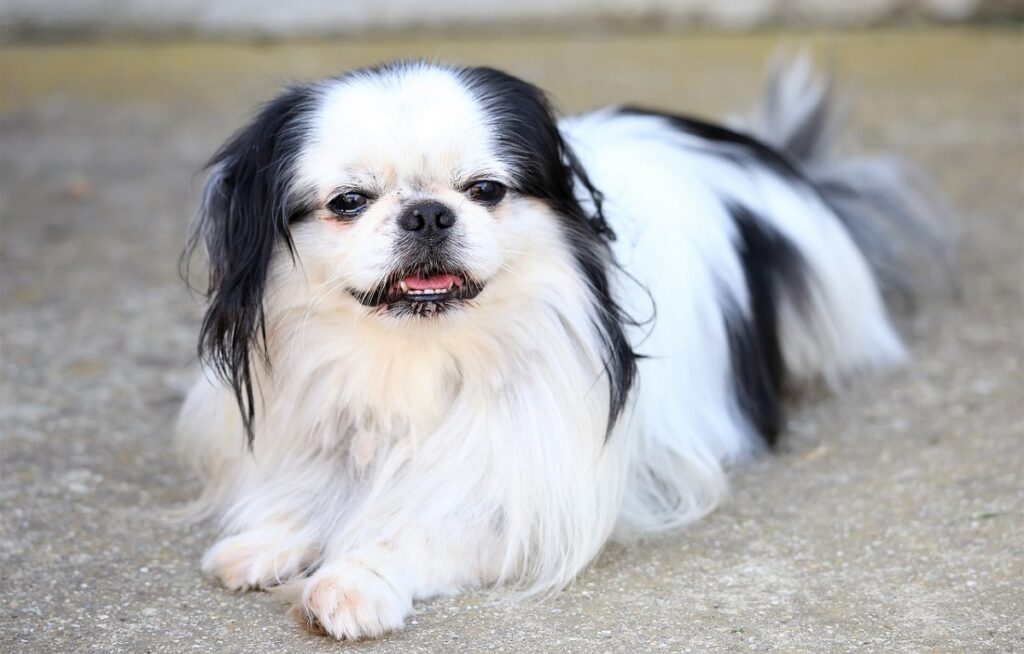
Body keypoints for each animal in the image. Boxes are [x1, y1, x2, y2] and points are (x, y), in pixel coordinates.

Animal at [178, 55, 942, 638]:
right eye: (348, 202)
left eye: (486, 190)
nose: (427, 212)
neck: (417, 358)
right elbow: (319, 484)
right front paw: (270, 538)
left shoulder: (532, 497)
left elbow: (427, 524)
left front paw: (355, 579)